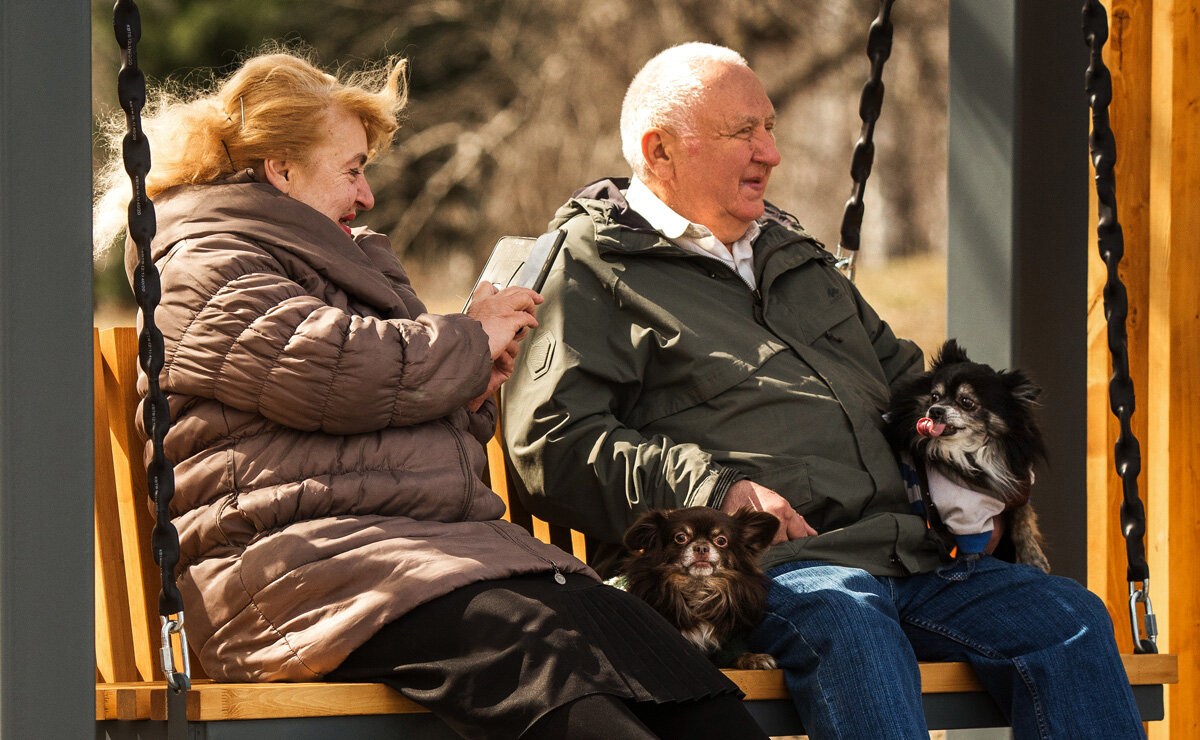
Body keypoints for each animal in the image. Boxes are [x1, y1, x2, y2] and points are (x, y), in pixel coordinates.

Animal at [624, 506, 782, 666]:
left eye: (721, 540)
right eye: (680, 538)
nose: (701, 547)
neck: (698, 588)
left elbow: (732, 650)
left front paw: (751, 658)